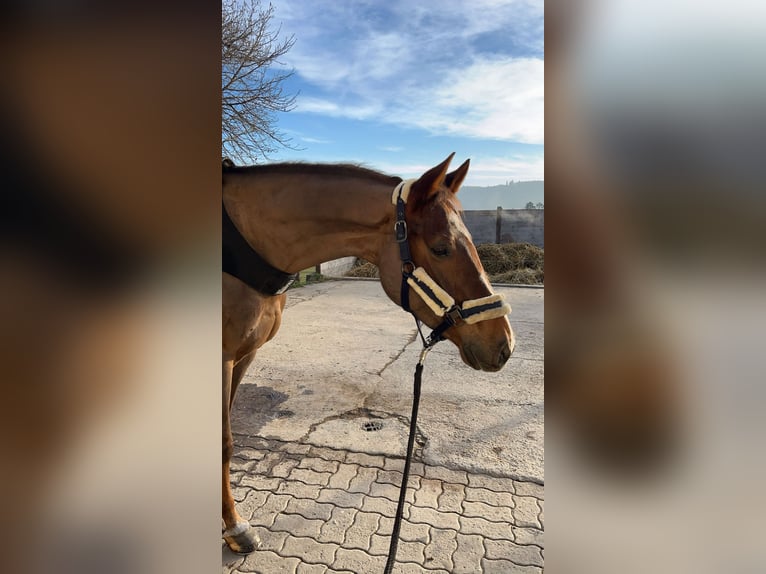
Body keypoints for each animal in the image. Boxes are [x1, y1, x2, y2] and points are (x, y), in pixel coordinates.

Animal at [222, 153, 515, 553]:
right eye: (441, 247)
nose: (504, 344)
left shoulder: (244, 357)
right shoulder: (222, 359)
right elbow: (224, 442)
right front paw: (236, 527)